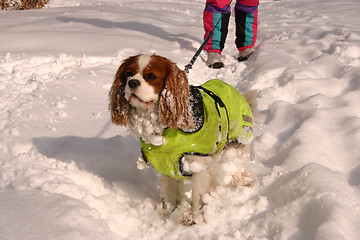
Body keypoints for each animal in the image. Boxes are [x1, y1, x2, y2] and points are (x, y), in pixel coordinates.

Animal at [107, 54, 256, 225]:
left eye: (151, 76)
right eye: (128, 74)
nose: (132, 82)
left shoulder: (199, 165)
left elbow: (197, 197)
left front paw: (196, 220)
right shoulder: (164, 166)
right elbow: (170, 196)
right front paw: (168, 214)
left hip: (237, 144)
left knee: (237, 166)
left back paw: (241, 181)